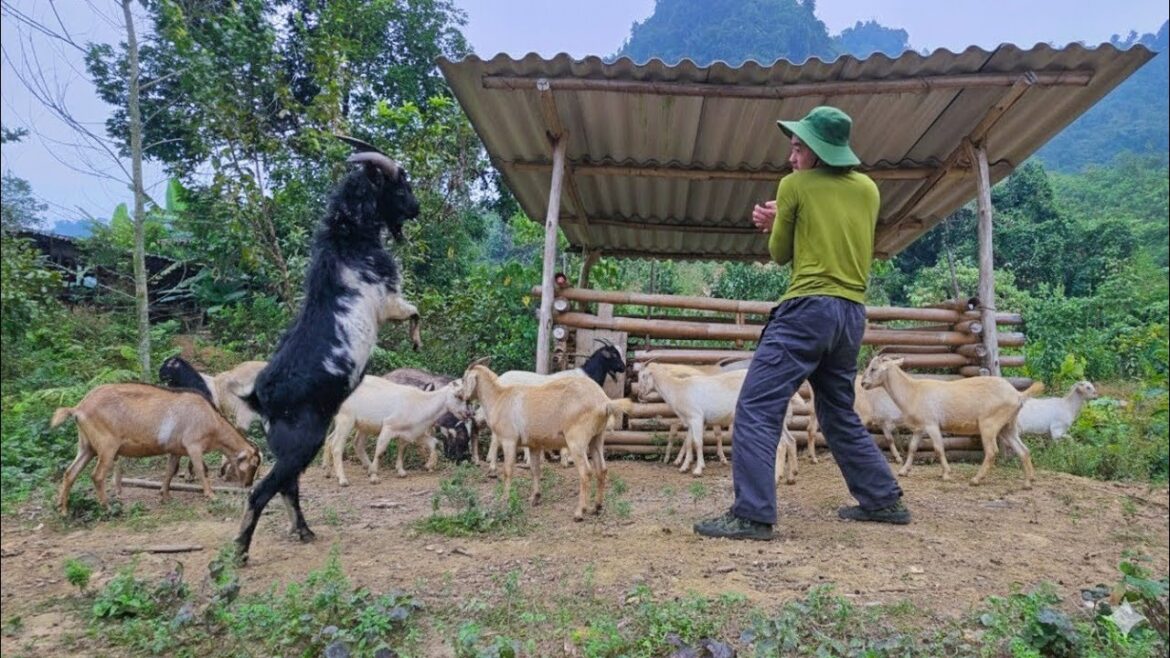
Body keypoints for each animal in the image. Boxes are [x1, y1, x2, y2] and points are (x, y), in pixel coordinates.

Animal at [52, 383, 261, 514]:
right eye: (253, 465)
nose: (248, 484)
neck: (212, 419)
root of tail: (79, 408)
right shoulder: (193, 445)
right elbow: (202, 470)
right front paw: (211, 495)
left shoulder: (176, 450)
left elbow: (170, 471)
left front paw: (164, 495)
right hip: (107, 447)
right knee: (97, 476)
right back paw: (108, 507)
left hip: (87, 447)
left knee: (70, 473)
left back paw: (63, 510)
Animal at [230, 136, 421, 563]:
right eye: (400, 187)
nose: (416, 209)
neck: (346, 239)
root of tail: (261, 399)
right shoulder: (388, 301)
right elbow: (415, 311)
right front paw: (417, 340)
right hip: (303, 441)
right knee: (263, 491)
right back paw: (241, 552)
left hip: (290, 447)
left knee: (288, 486)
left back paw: (304, 531)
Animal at [321, 376, 469, 485]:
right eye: (458, 395)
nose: (468, 414)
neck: (420, 402)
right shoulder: (389, 427)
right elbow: (380, 451)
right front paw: (374, 477)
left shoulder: (413, 432)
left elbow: (426, 444)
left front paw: (420, 467)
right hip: (346, 418)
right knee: (337, 446)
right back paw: (343, 479)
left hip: (357, 423)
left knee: (337, 441)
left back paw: (328, 472)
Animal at [459, 364, 633, 520]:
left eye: (464, 378)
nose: (460, 396)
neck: (498, 397)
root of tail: (604, 401)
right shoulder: (534, 445)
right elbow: (535, 470)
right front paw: (535, 498)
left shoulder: (509, 440)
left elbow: (508, 470)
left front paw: (504, 499)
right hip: (597, 437)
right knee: (602, 469)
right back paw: (597, 507)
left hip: (576, 440)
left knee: (586, 472)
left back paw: (579, 512)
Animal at [860, 356, 1043, 487]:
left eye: (873, 368)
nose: (862, 383)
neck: (914, 391)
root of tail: (1017, 394)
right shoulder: (920, 427)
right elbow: (912, 448)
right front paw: (904, 471)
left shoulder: (932, 424)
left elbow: (938, 448)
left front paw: (946, 474)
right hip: (1008, 425)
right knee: (1023, 450)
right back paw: (1029, 481)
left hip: (989, 424)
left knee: (992, 451)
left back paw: (976, 479)